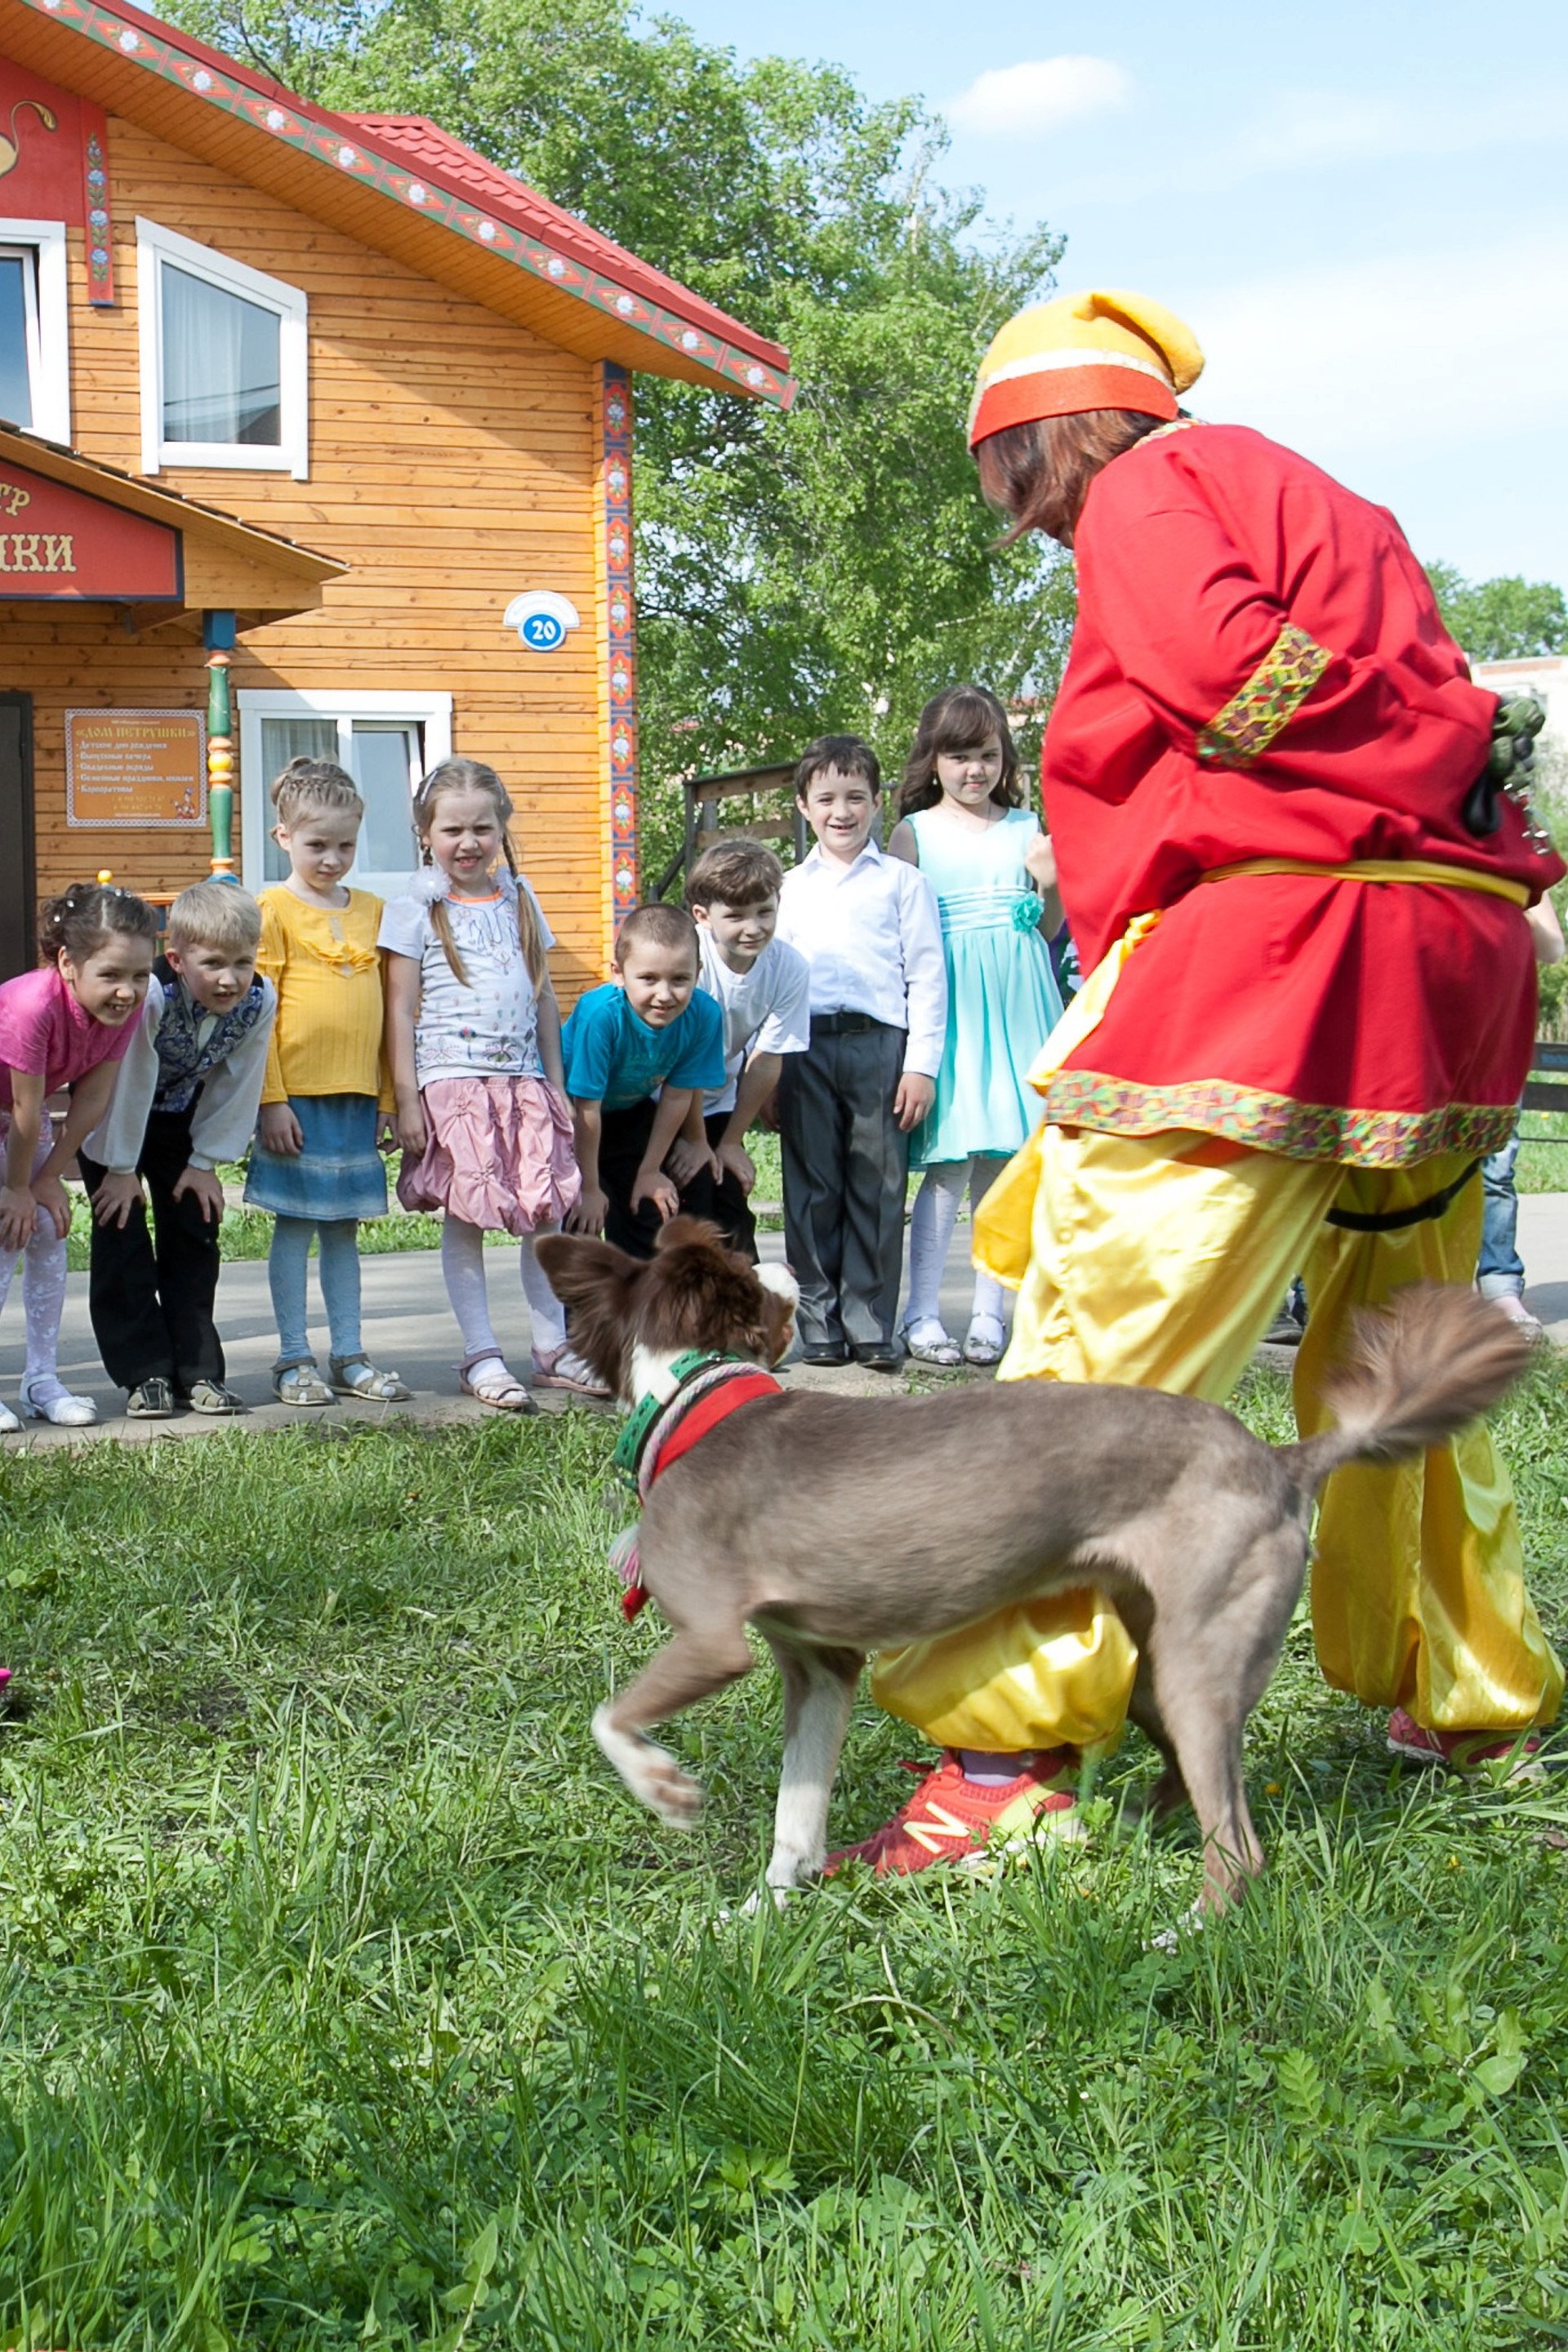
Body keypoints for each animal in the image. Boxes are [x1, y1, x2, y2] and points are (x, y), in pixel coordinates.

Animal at [533, 1223, 1523, 1919]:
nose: (794, 1282)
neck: (695, 1405)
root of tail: (1283, 1461)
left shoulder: (712, 1641)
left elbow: (609, 1717)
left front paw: (664, 1790)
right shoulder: (819, 1667)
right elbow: (795, 1813)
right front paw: (762, 1917)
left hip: (1199, 1667)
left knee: (1238, 1845)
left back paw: (1183, 1933)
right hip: (1162, 1669)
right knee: (1186, 1786)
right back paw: (1122, 1832)